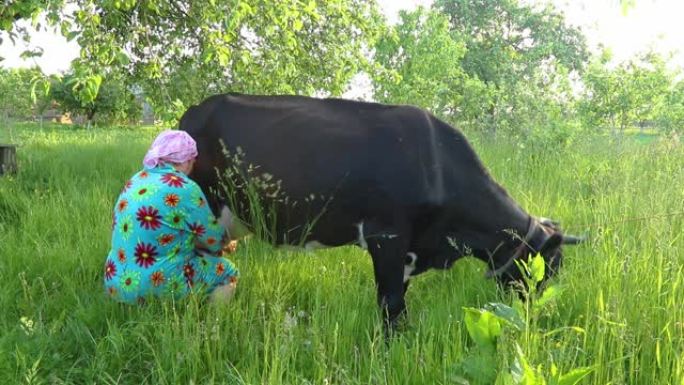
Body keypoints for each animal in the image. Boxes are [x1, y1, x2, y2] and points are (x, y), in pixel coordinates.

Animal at [178, 92, 584, 330]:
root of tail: (197, 108)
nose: (537, 318)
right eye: (548, 267)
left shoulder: (409, 249)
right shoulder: (386, 234)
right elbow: (389, 301)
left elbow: (398, 301)